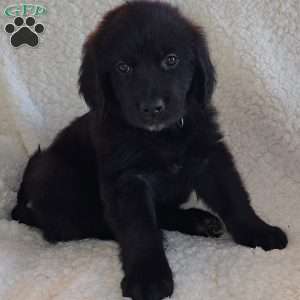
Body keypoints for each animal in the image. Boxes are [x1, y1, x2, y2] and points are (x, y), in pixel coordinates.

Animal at [11, 1, 288, 298]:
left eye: (171, 60)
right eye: (123, 67)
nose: (152, 107)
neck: (161, 137)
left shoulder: (210, 156)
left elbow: (234, 197)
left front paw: (258, 231)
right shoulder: (127, 179)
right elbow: (138, 228)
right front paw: (148, 277)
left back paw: (197, 221)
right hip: (52, 173)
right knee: (68, 227)